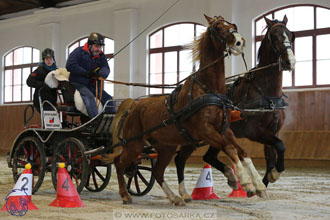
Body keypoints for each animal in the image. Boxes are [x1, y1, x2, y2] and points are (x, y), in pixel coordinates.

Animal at [109, 14, 249, 205]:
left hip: (165, 147)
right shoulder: (206, 130)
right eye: (219, 28)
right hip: (134, 144)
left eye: (233, 25)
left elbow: (239, 149)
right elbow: (230, 148)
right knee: (119, 163)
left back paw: (175, 197)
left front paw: (254, 183)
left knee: (157, 171)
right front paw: (245, 181)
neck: (208, 89)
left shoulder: (223, 128)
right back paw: (125, 195)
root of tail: (134, 106)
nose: (240, 41)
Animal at [175, 15, 296, 199]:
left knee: (208, 157)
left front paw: (265, 182)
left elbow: (272, 157)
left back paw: (231, 177)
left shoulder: (272, 132)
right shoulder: (256, 132)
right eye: (275, 37)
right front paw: (272, 176)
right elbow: (280, 145)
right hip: (196, 136)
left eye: (291, 35)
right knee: (181, 159)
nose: (290, 62)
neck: (267, 93)